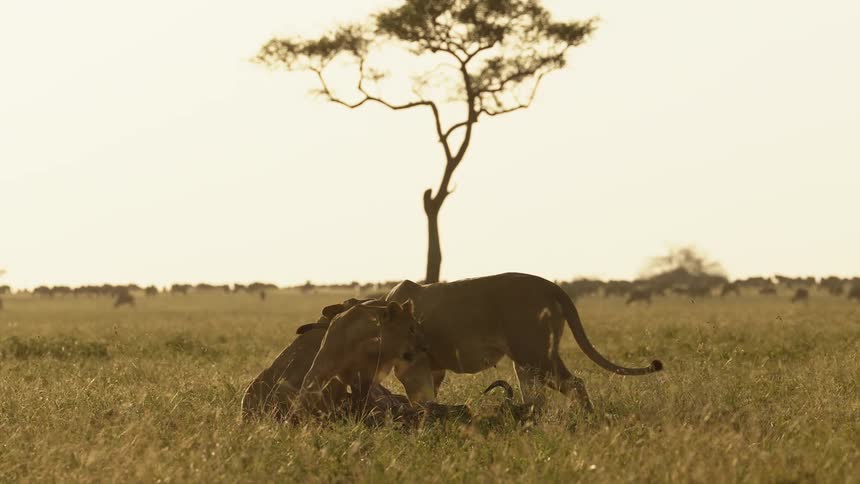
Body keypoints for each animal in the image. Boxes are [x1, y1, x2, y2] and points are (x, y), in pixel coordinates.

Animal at [376, 273, 662, 413]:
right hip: (528, 361)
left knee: (575, 384)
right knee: (537, 397)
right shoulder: (434, 367)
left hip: (534, 354)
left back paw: (586, 420)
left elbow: (420, 399)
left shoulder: (414, 366)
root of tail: (551, 286)